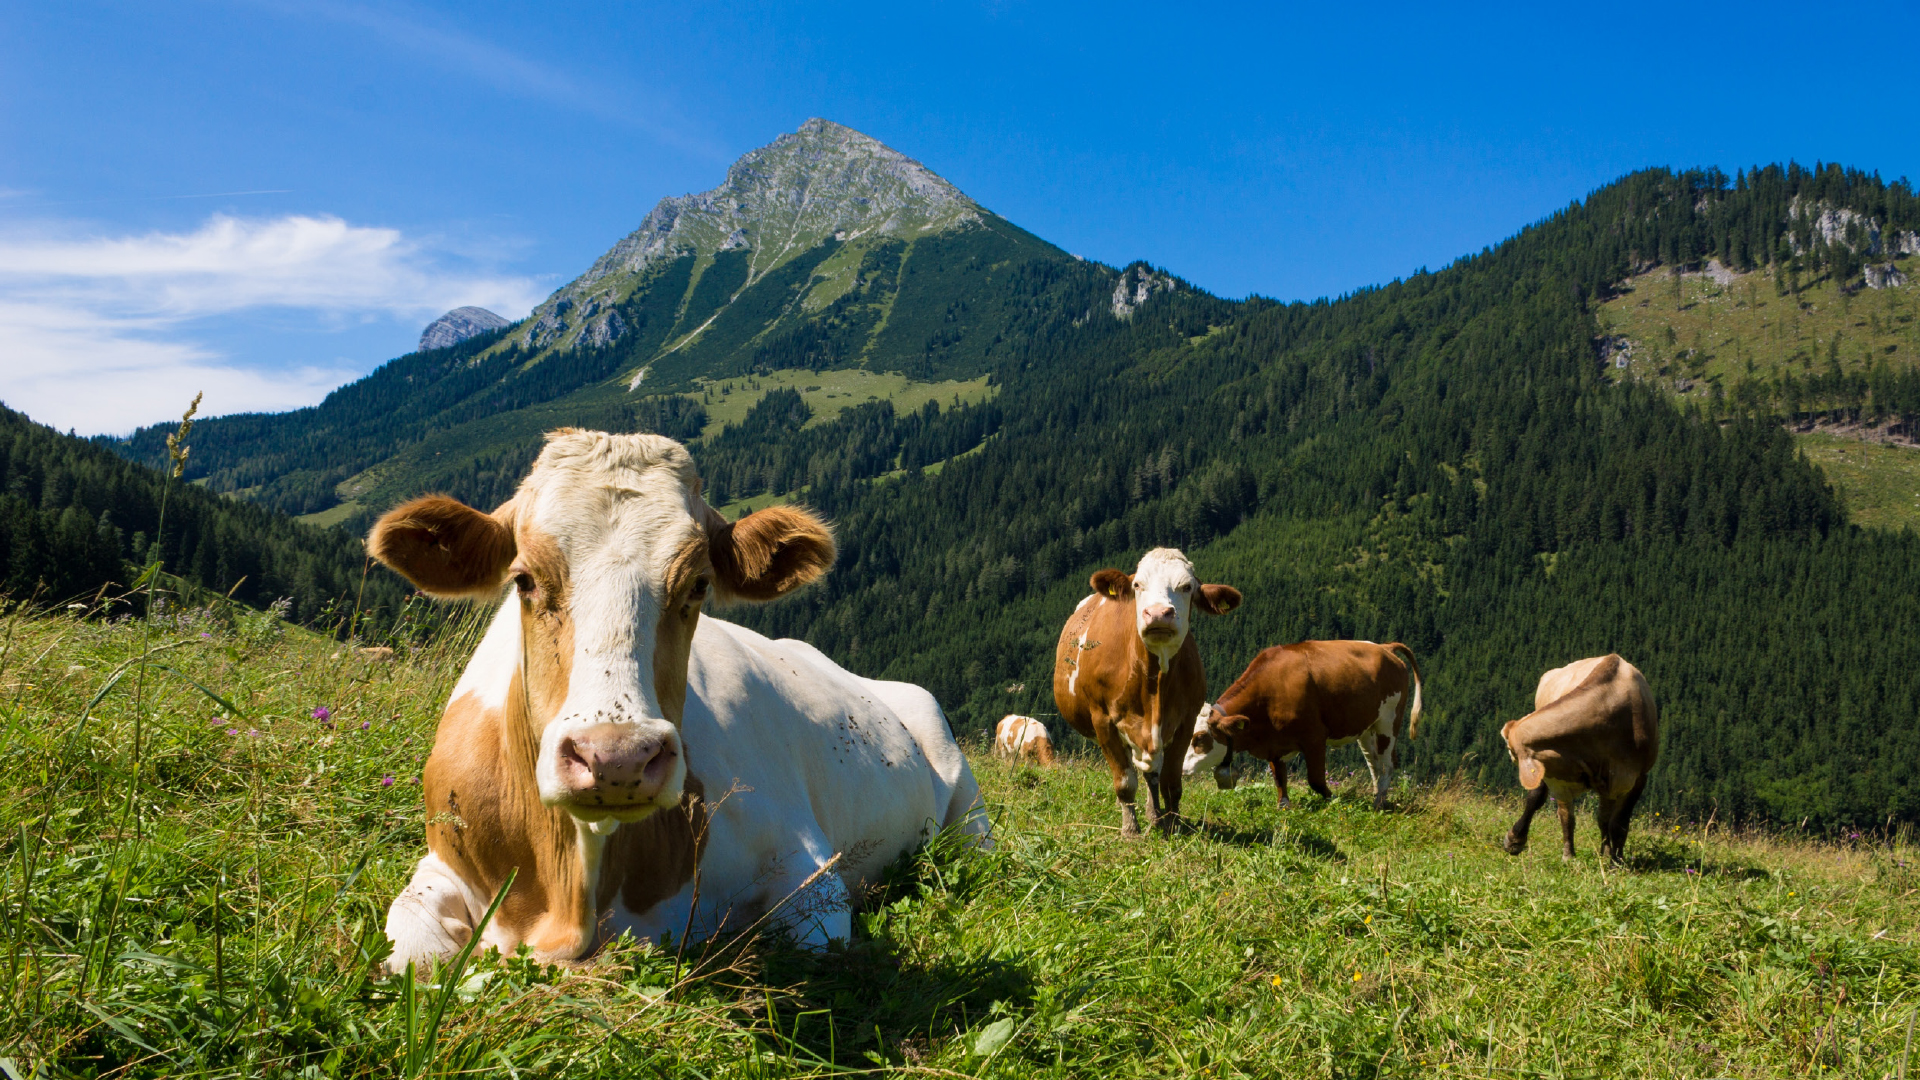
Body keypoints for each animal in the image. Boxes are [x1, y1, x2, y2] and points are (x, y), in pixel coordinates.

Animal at [366, 428, 990, 968]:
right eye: (524, 579)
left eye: (698, 584)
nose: (615, 758)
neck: (572, 893)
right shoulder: (443, 864)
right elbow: (405, 953)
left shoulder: (811, 872)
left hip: (968, 808)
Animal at [1052, 545, 1244, 834]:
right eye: (1137, 585)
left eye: (1187, 586)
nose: (1158, 613)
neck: (1153, 687)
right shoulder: (1102, 720)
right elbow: (1124, 782)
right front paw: (1131, 830)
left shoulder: (1186, 722)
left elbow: (1171, 781)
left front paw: (1171, 825)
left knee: (1151, 772)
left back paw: (1155, 816)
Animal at [1175, 638, 1420, 807]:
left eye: (1200, 738)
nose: (1181, 768)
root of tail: (1385, 647)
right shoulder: (1274, 743)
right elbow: (1279, 777)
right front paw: (1284, 805)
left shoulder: (1315, 737)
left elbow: (1316, 780)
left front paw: (1332, 800)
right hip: (1367, 728)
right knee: (1374, 764)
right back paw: (1376, 796)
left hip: (1388, 721)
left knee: (1387, 764)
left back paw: (1379, 803)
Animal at [1489, 653, 1658, 860]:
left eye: (1510, 748)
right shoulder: (1557, 773)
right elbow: (1566, 815)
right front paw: (1569, 856)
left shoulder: (1636, 777)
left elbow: (1618, 824)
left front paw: (1616, 860)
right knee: (1536, 798)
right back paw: (1516, 840)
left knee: (1604, 818)